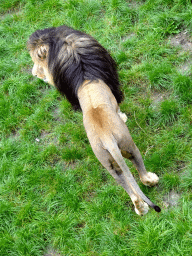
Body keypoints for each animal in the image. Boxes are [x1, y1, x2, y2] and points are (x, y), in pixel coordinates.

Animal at [27, 25, 160, 214]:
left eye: (37, 62)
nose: (34, 74)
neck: (85, 78)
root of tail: (107, 139)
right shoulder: (114, 95)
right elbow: (119, 109)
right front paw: (123, 117)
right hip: (129, 146)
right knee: (140, 172)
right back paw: (151, 179)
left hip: (110, 165)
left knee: (130, 191)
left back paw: (140, 209)